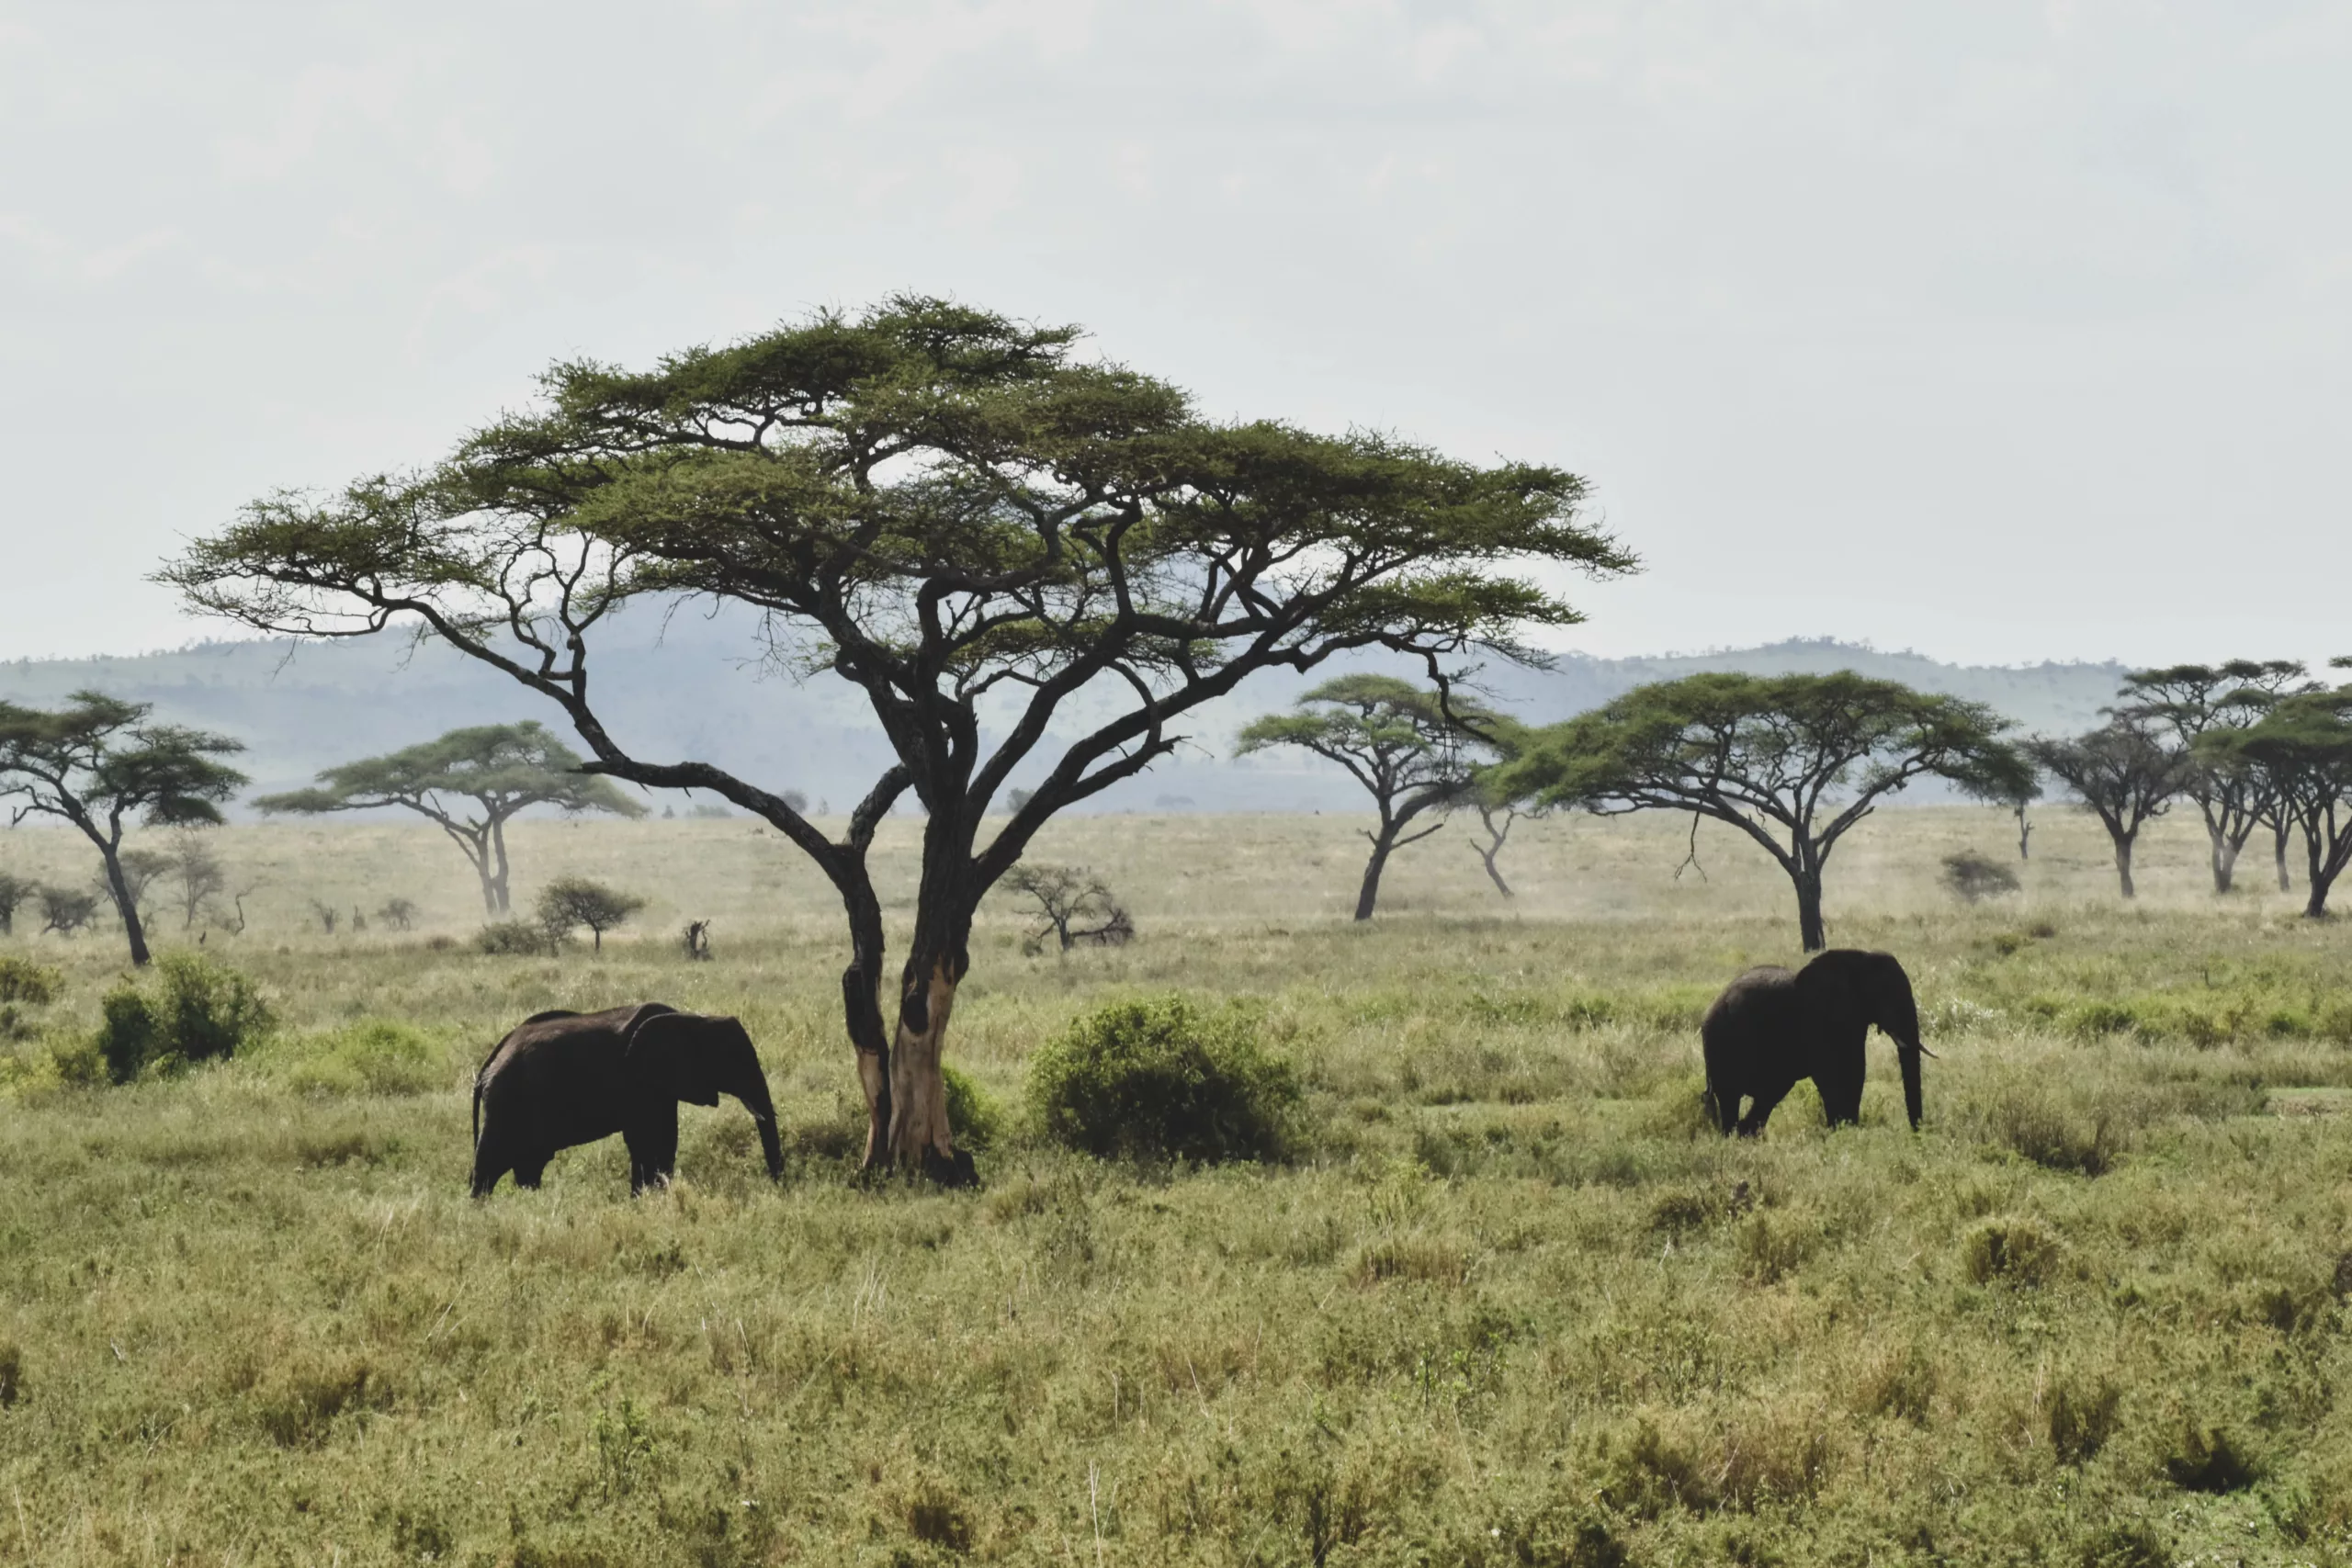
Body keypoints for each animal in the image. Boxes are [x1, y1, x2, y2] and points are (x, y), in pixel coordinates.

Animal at [472, 1006, 786, 1203]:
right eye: (734, 1060)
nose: (778, 1187)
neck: (691, 1018)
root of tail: (490, 1060)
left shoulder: (663, 1084)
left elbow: (667, 1137)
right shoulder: (636, 1081)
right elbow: (644, 1140)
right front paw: (642, 1200)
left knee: (528, 1165)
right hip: (505, 1100)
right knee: (490, 1162)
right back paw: (480, 1210)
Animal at [1712, 949, 1928, 1133]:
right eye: (1886, 995)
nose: (1916, 1132)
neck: (1859, 959)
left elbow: (1855, 1069)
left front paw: (1847, 1129)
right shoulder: (1817, 1018)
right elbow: (1830, 1073)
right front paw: (1842, 1131)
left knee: (1769, 1095)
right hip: (1720, 1041)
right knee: (1730, 1097)